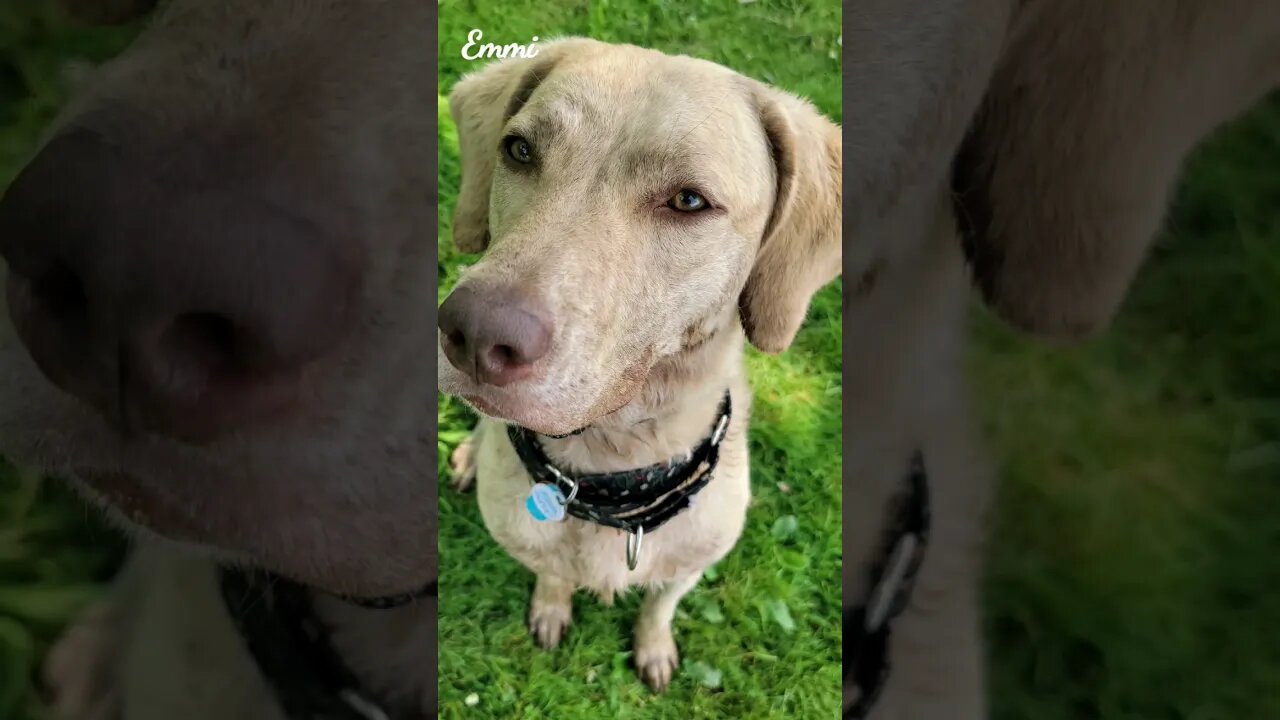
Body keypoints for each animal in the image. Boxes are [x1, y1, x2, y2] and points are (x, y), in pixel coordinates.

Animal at [435, 39, 844, 691]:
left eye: (689, 201)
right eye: (520, 150)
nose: (474, 334)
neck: (611, 475)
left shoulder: (691, 564)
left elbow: (660, 603)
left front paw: (653, 648)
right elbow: (553, 574)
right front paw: (552, 608)